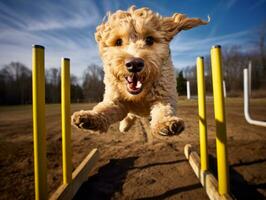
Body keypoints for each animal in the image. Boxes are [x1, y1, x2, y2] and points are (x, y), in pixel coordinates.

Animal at [71, 5, 209, 136]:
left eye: (149, 40)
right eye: (118, 41)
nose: (134, 64)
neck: (139, 96)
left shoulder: (165, 95)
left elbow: (163, 109)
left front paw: (166, 123)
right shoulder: (115, 99)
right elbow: (104, 109)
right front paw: (89, 117)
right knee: (130, 115)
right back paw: (124, 126)